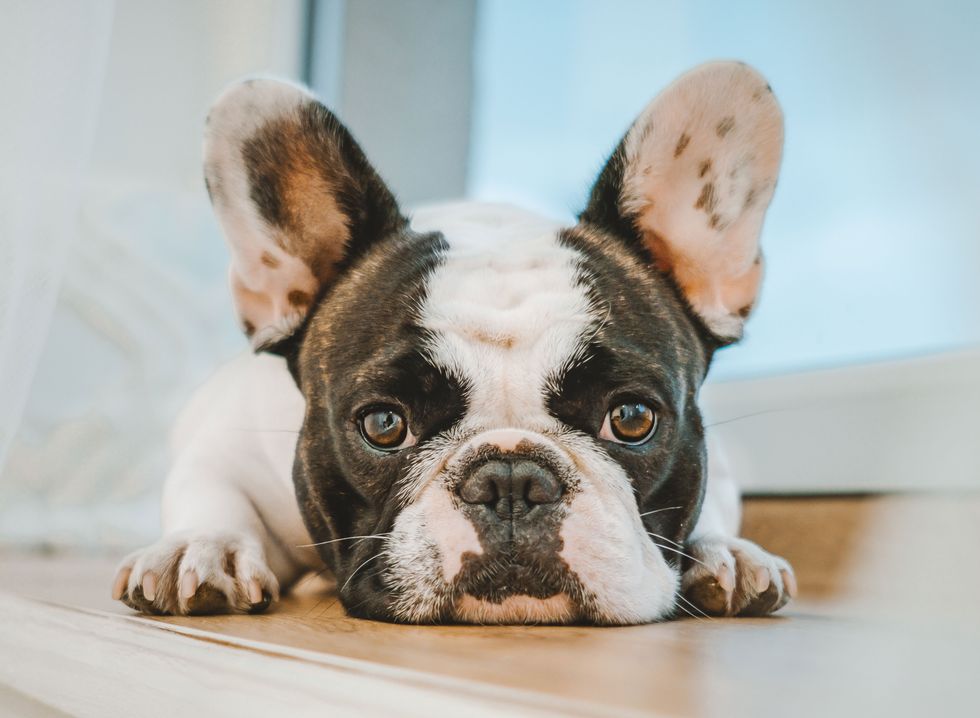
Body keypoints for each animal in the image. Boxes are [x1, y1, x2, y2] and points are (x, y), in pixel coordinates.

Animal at [109, 62, 796, 624]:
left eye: (631, 418)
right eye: (383, 424)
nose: (512, 481)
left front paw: (724, 550)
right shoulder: (228, 441)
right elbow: (211, 489)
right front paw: (203, 547)